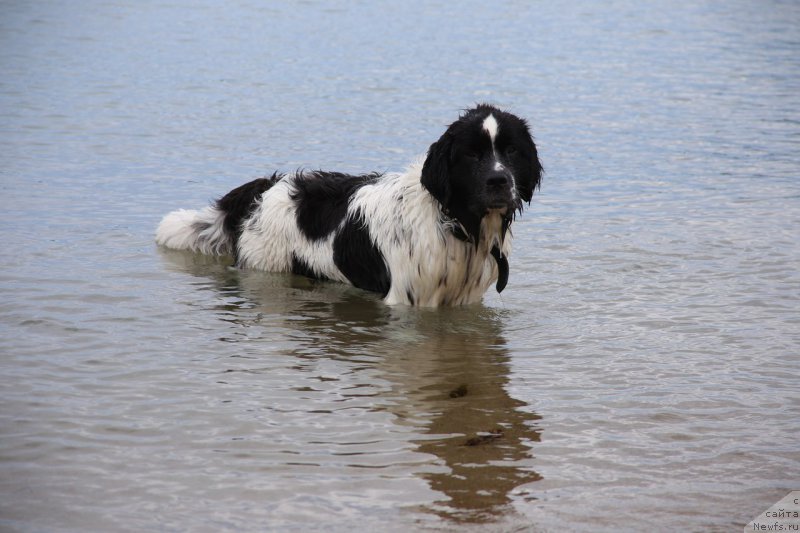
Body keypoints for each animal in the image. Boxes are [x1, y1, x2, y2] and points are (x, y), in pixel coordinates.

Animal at [156, 104, 544, 306]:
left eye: (511, 151)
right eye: (471, 154)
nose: (499, 181)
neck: (454, 224)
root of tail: (268, 185)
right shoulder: (406, 303)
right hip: (267, 266)